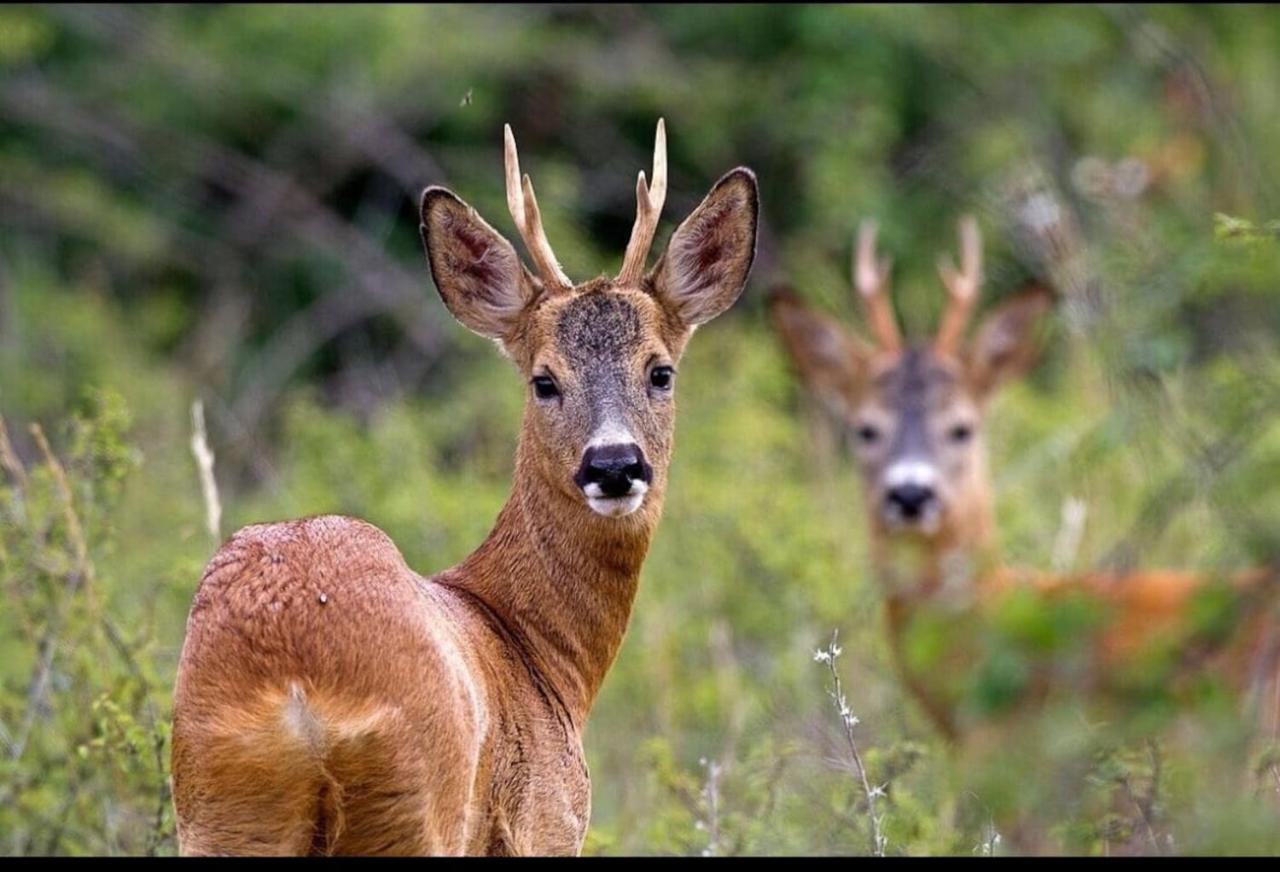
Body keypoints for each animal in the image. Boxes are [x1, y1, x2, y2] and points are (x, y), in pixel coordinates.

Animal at [165, 119, 752, 855]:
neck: (539, 653)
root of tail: (298, 690)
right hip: (416, 804)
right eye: (544, 380)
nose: (614, 464)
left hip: (219, 807)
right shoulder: (546, 822)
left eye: (660, 371)